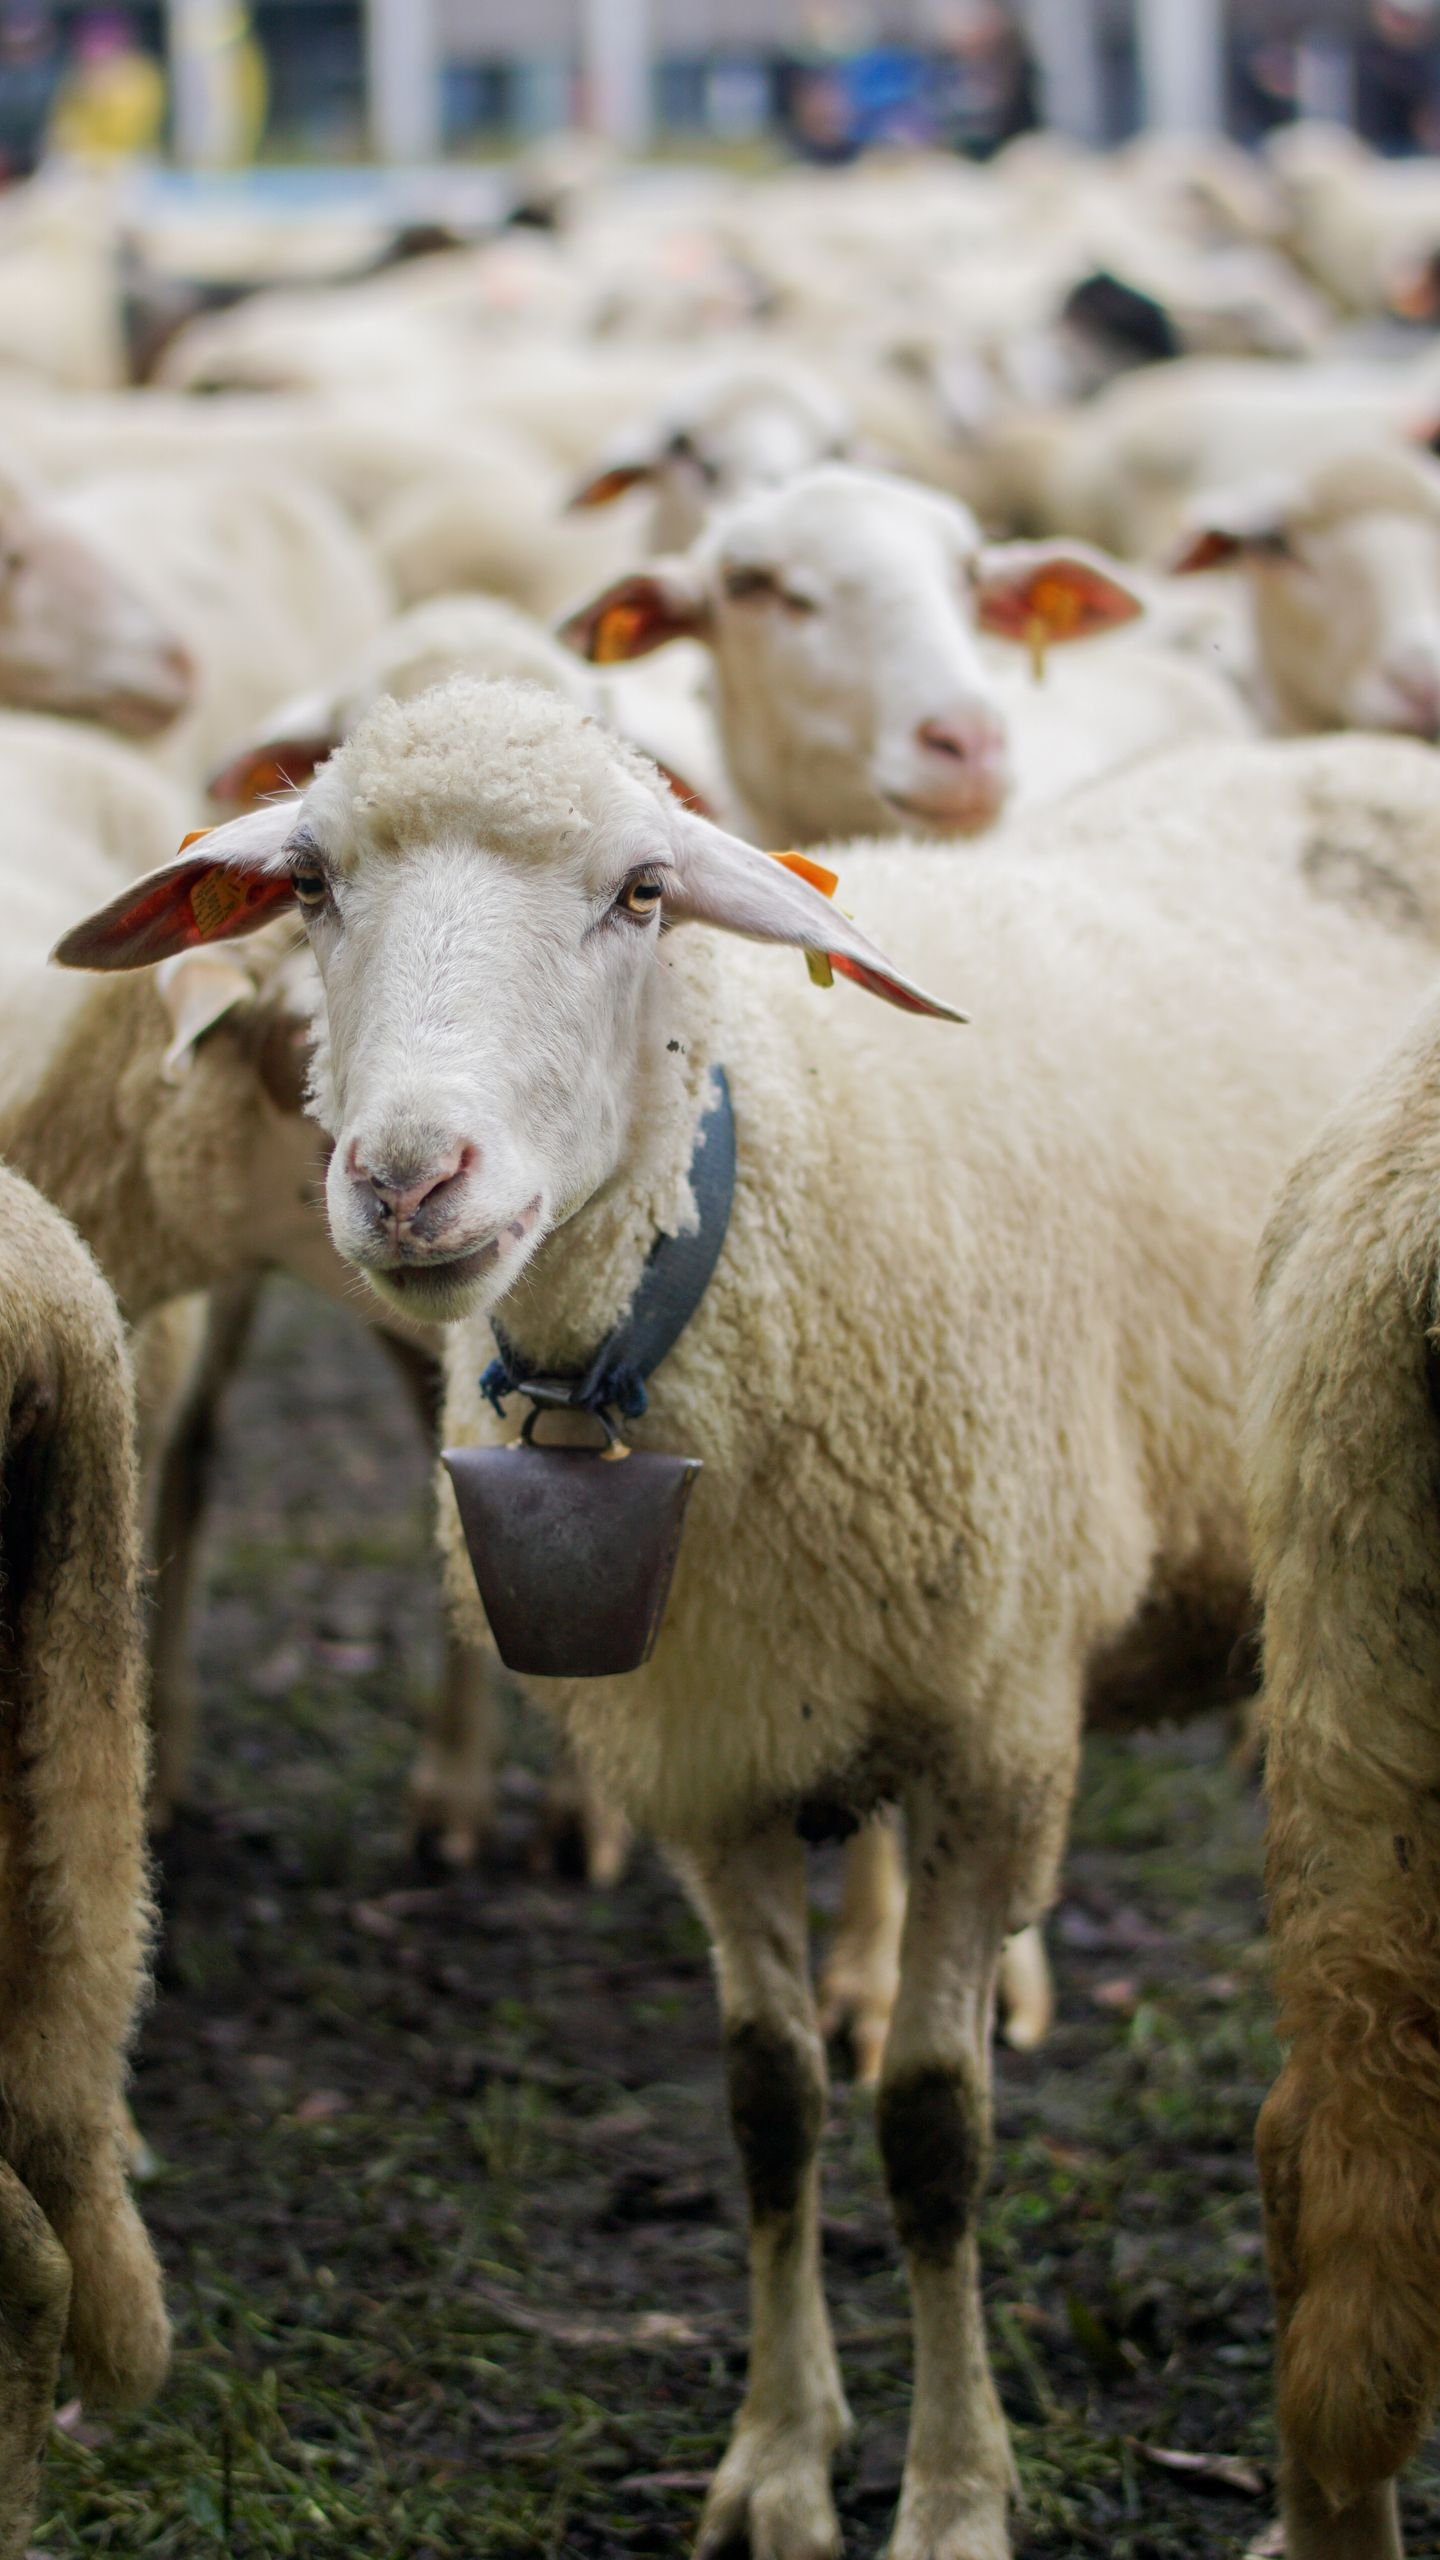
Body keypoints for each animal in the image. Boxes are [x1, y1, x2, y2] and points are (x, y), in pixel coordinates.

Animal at [61, 691, 1440, 2560]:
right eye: (317, 885)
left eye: (644, 891)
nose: (411, 1180)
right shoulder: (705, 1761)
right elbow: (768, 2107)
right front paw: (780, 2464)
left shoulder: (999, 1742)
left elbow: (931, 2132)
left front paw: (952, 2493)